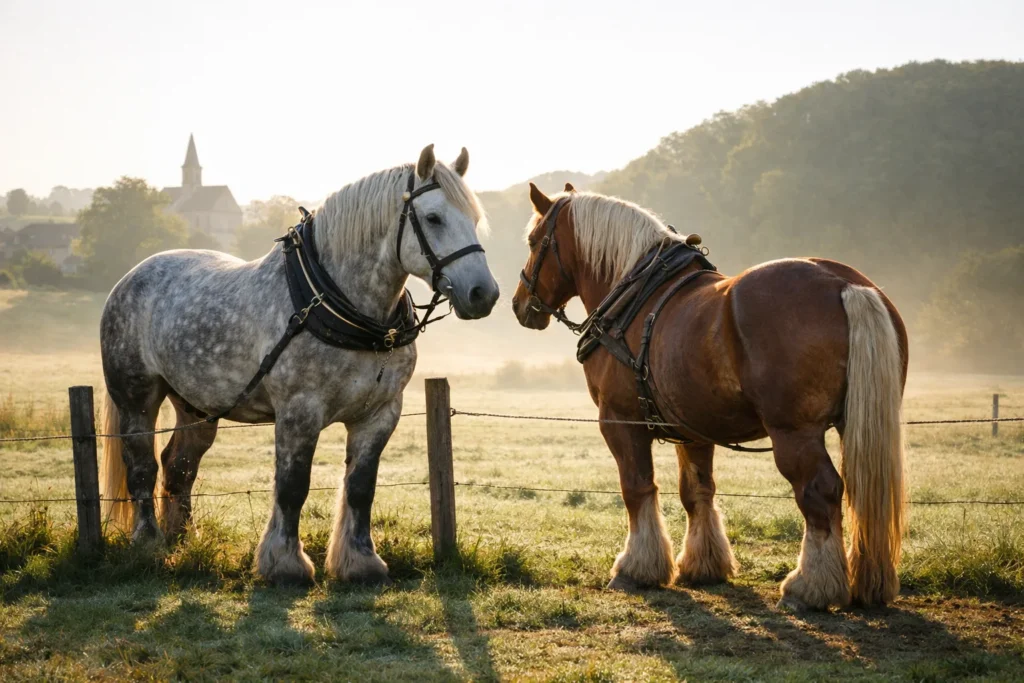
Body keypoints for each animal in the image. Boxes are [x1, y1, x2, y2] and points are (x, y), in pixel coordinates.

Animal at [99, 145, 499, 585]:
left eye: (474, 219)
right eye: (433, 218)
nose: (483, 293)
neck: (340, 306)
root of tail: (130, 278)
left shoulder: (379, 413)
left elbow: (361, 487)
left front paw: (360, 562)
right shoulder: (299, 412)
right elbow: (293, 486)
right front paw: (285, 564)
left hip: (197, 407)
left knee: (179, 466)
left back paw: (182, 538)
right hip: (137, 397)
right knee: (142, 467)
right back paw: (148, 542)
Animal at [512, 183, 907, 610]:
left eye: (534, 241)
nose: (519, 304)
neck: (634, 297)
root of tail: (842, 284)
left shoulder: (620, 421)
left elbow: (637, 488)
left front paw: (636, 568)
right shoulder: (693, 430)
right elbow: (697, 491)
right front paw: (704, 564)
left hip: (794, 433)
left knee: (821, 492)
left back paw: (807, 586)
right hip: (859, 424)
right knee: (863, 495)